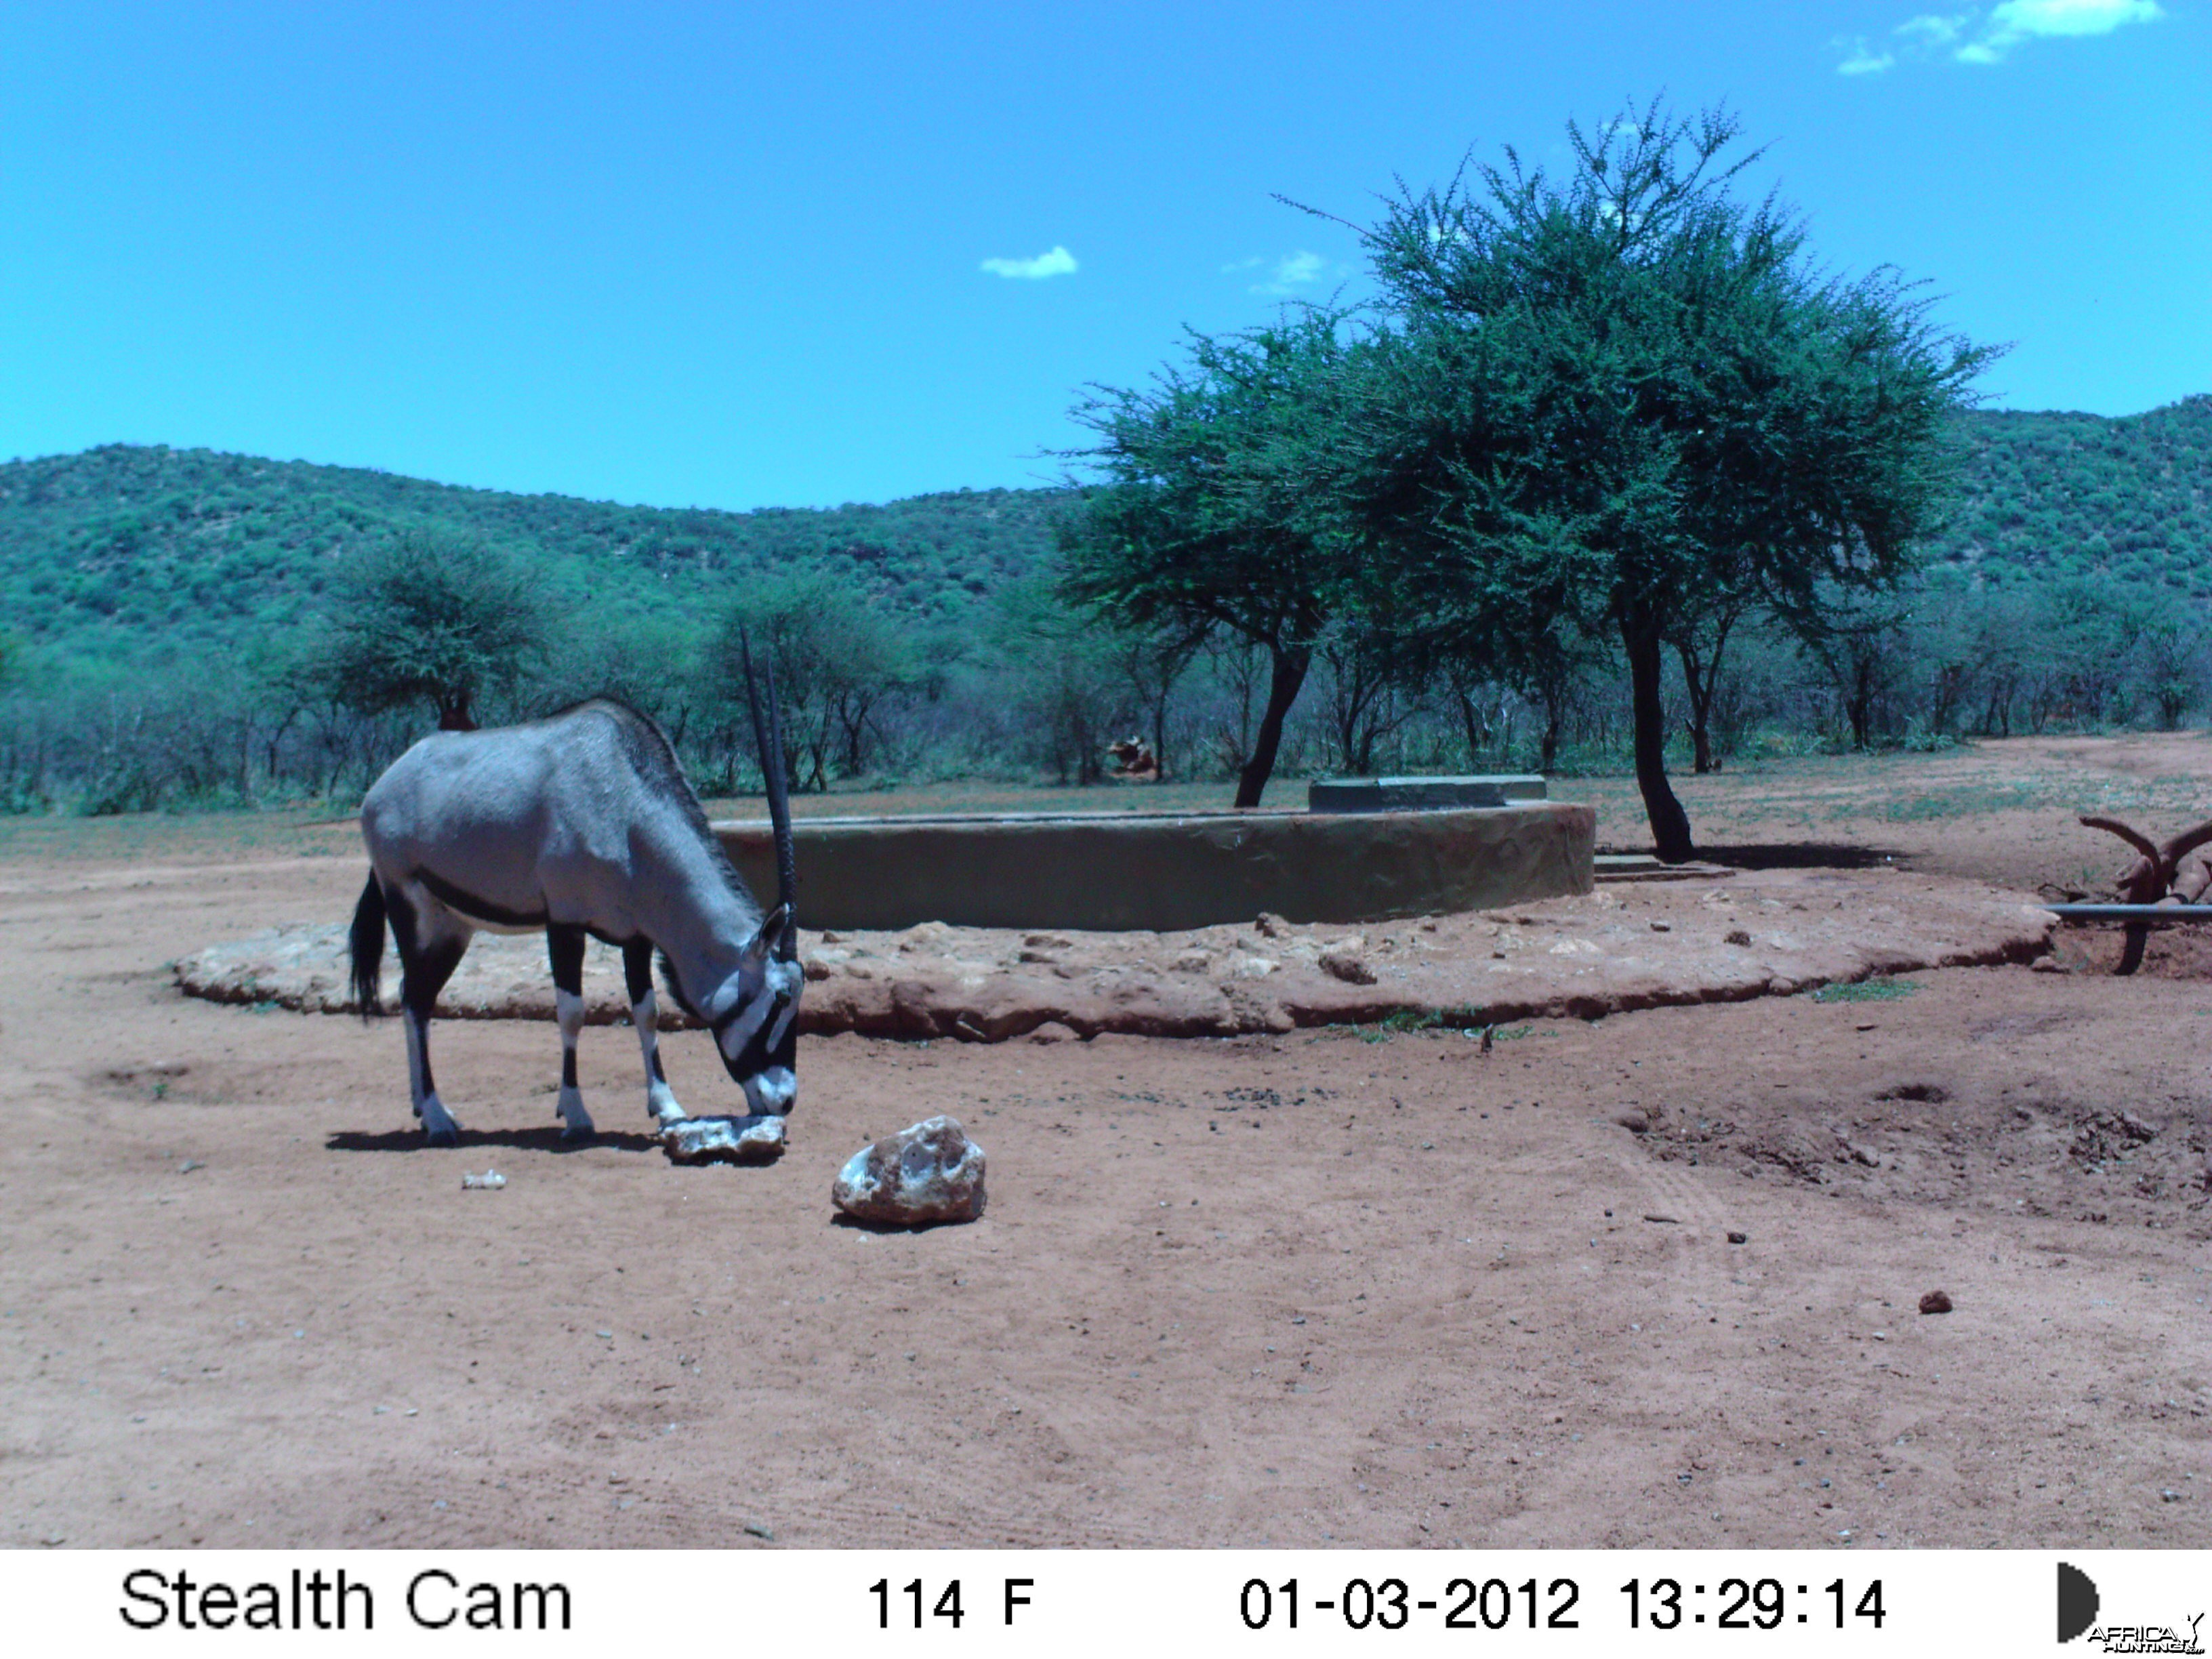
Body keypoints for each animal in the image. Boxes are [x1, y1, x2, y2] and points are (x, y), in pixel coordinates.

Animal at [340, 650, 800, 1141]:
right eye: (780, 999)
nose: (785, 1101)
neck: (627, 807)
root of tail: (381, 787)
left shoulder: (636, 936)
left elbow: (647, 1012)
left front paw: (667, 1106)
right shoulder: (565, 923)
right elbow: (572, 1013)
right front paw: (577, 1115)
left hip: (452, 929)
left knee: (416, 995)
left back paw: (423, 1107)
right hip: (410, 910)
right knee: (414, 1000)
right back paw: (437, 1117)